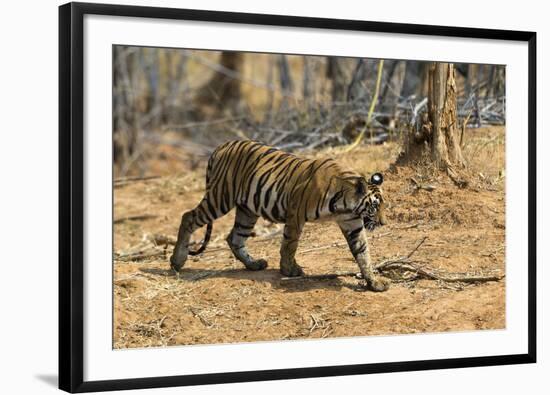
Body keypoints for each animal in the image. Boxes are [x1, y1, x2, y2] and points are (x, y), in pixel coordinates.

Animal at [170, 139, 390, 290]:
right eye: (374, 207)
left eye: (383, 206)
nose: (383, 223)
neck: (345, 205)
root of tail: (221, 146)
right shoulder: (296, 214)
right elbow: (289, 245)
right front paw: (289, 270)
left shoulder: (352, 222)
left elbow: (363, 252)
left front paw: (374, 282)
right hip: (220, 198)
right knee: (188, 217)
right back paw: (177, 261)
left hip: (247, 210)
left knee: (235, 237)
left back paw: (254, 264)